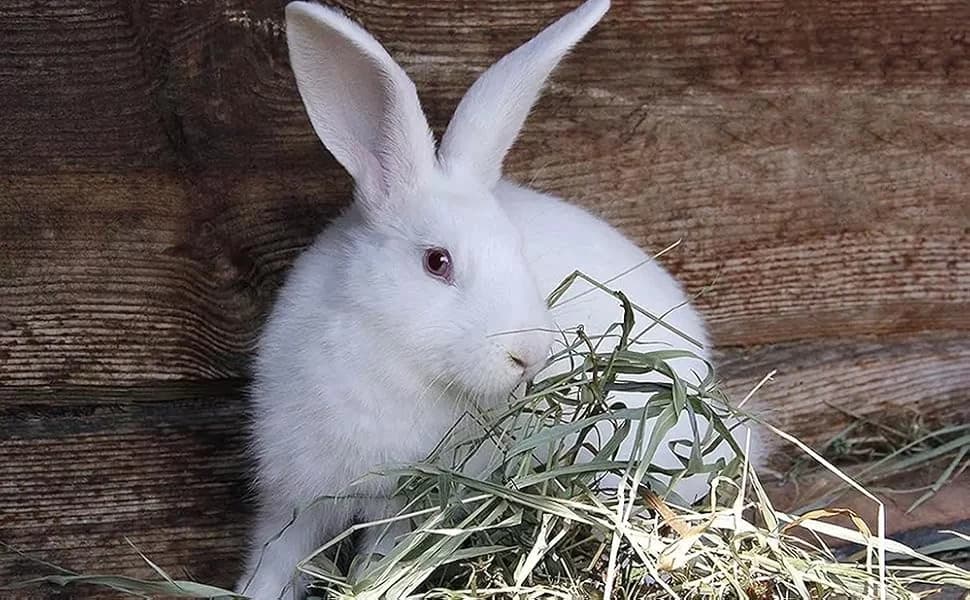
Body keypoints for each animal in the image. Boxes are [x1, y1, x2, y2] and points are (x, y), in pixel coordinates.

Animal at [238, 1, 760, 598]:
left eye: (517, 249)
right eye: (436, 262)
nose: (529, 356)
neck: (385, 351)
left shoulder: (398, 511)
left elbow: (379, 563)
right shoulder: (291, 500)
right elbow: (271, 566)